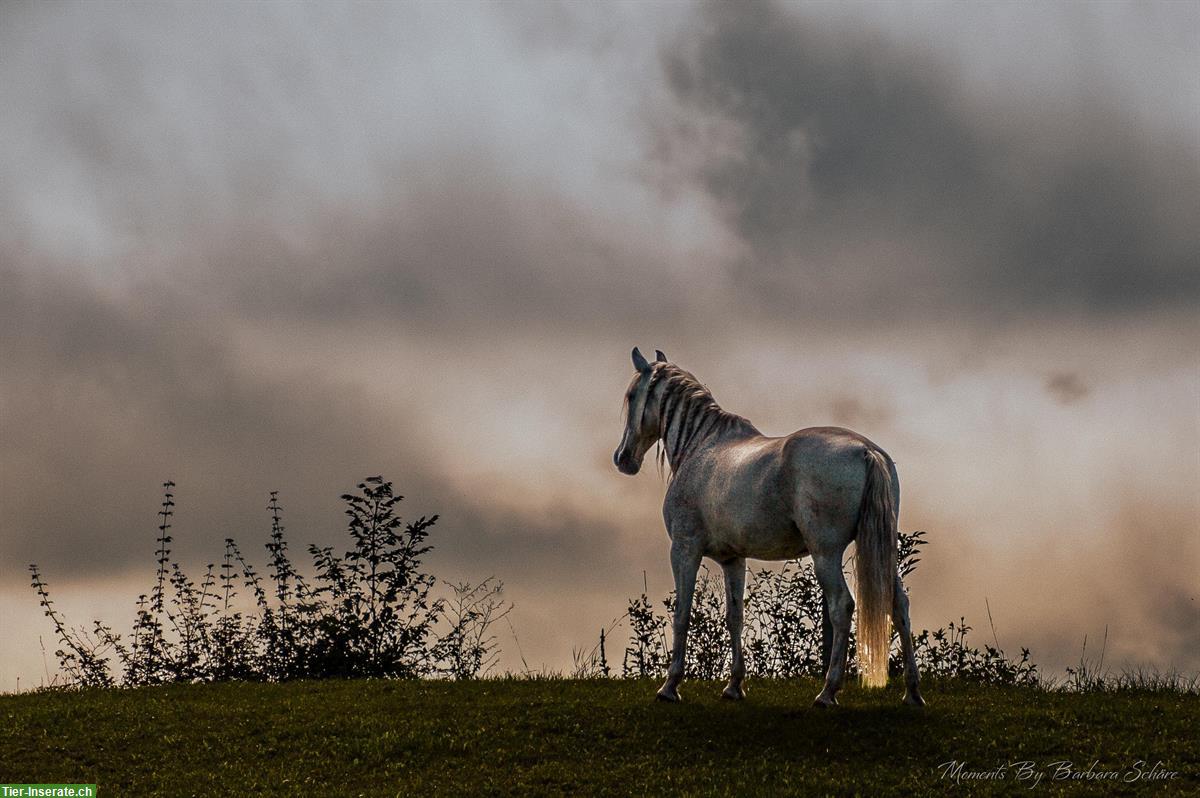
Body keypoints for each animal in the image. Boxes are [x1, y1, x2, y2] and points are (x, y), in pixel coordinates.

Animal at [614, 345, 921, 705]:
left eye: (631, 395)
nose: (623, 459)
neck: (700, 447)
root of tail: (866, 451)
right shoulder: (733, 559)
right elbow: (735, 617)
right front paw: (734, 686)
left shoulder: (684, 550)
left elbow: (682, 613)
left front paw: (669, 687)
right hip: (881, 551)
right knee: (899, 605)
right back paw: (912, 693)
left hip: (826, 554)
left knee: (842, 606)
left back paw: (827, 692)